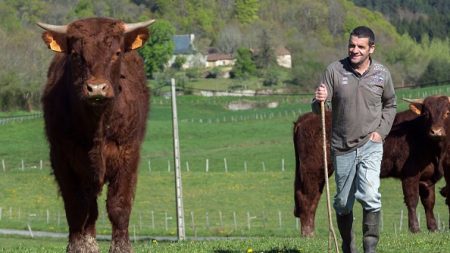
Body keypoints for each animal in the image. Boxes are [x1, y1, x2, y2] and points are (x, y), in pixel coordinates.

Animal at [37, 17, 153, 253]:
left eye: (117, 52)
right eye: (75, 54)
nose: (97, 88)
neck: (97, 125)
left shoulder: (128, 155)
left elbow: (119, 204)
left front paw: (121, 247)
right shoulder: (62, 157)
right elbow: (76, 205)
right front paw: (78, 246)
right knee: (88, 206)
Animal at [294, 95, 448, 237]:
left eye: (447, 112)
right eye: (426, 114)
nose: (436, 131)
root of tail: (305, 118)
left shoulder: (427, 178)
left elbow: (429, 202)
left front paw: (434, 228)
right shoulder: (409, 175)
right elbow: (412, 200)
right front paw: (415, 229)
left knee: (311, 197)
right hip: (313, 170)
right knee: (307, 196)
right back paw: (308, 233)